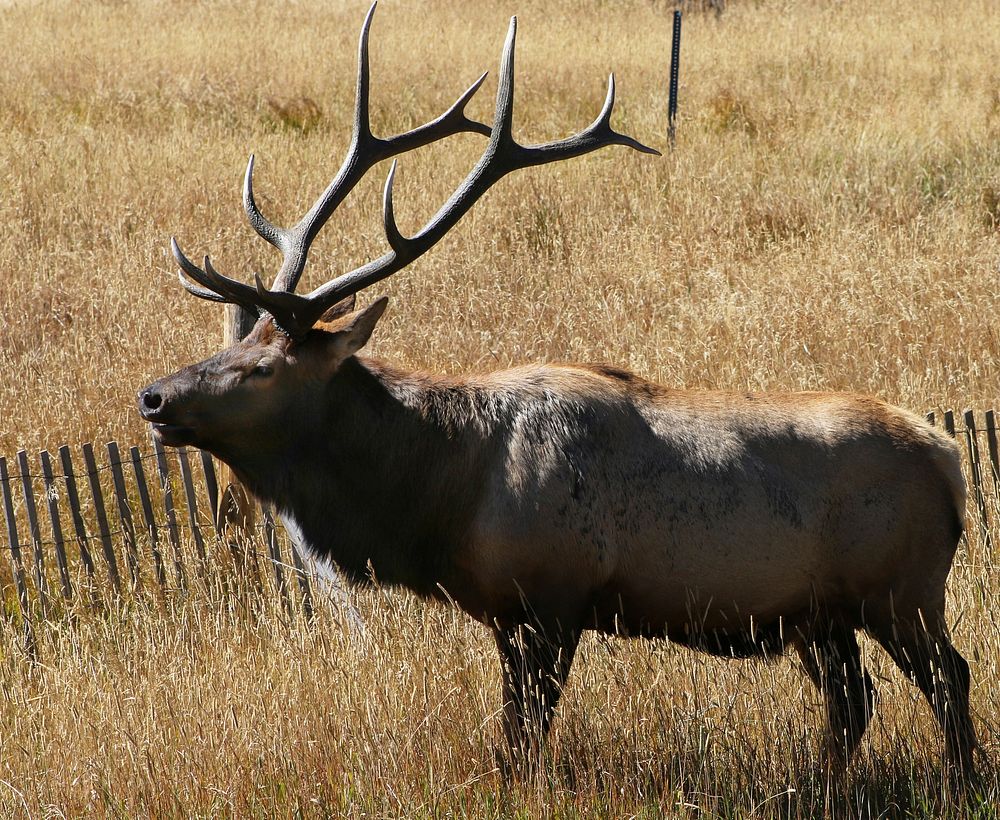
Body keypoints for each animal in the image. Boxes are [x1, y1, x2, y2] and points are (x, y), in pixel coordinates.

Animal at [141, 3, 976, 776]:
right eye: (234, 344)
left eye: (263, 367)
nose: (153, 397)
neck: (446, 491)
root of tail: (950, 461)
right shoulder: (505, 613)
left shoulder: (551, 596)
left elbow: (522, 741)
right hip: (819, 614)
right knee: (853, 701)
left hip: (901, 587)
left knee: (949, 677)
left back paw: (962, 781)